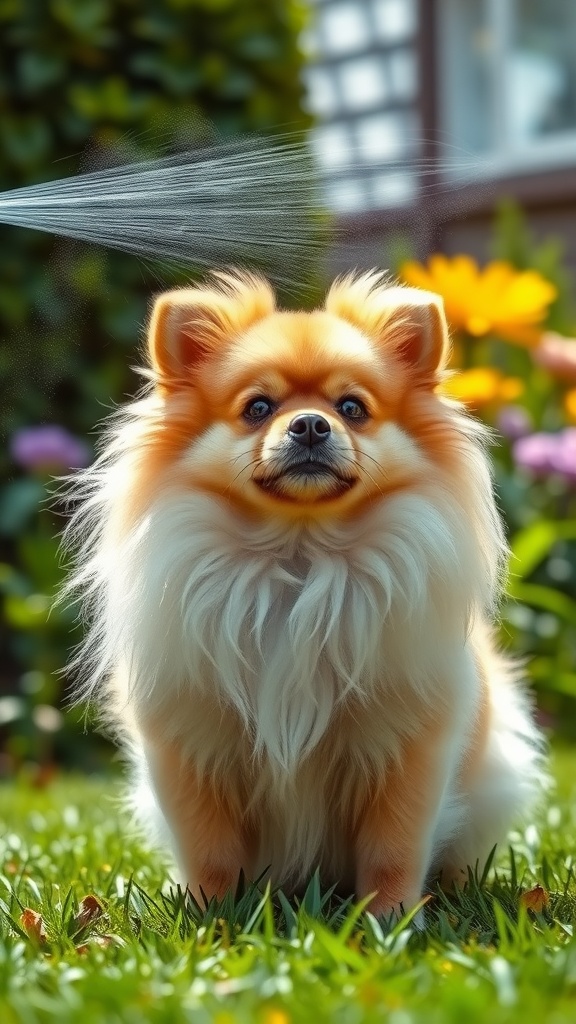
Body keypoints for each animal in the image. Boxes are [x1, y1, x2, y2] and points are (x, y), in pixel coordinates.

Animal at [63, 268, 541, 917]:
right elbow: (210, 852)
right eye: (257, 407)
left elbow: (394, 849)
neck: (300, 556)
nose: (311, 423)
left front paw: (388, 920)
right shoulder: (191, 746)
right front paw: (211, 917)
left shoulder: (407, 747)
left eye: (353, 408)